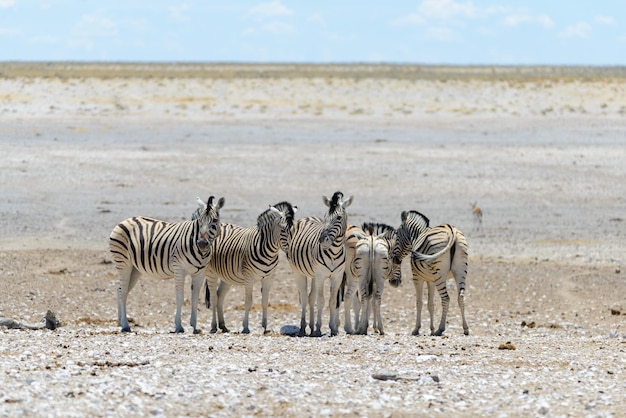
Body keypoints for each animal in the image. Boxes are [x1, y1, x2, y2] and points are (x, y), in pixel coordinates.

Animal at [109, 195, 224, 334]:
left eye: (215, 220)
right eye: (200, 221)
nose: (202, 243)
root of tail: (125, 220)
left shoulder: (199, 274)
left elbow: (195, 299)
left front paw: (194, 326)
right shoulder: (179, 269)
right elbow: (180, 297)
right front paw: (179, 326)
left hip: (135, 269)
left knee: (120, 290)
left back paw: (121, 322)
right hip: (123, 263)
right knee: (123, 291)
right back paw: (125, 325)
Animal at [197, 201, 298, 334]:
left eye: (293, 230)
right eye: (282, 230)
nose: (291, 253)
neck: (268, 251)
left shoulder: (269, 278)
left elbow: (265, 301)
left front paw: (265, 327)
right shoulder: (249, 278)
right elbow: (249, 301)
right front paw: (245, 327)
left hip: (227, 276)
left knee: (220, 296)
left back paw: (223, 326)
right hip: (210, 273)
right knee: (214, 297)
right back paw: (214, 326)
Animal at [286, 191, 352, 338]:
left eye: (339, 217)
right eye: (325, 217)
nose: (323, 240)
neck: (334, 252)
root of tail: (307, 217)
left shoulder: (337, 276)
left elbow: (332, 301)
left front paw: (332, 329)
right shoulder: (321, 276)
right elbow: (321, 301)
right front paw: (318, 329)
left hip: (313, 275)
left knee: (311, 297)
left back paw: (310, 328)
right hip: (298, 272)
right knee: (305, 297)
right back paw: (303, 328)